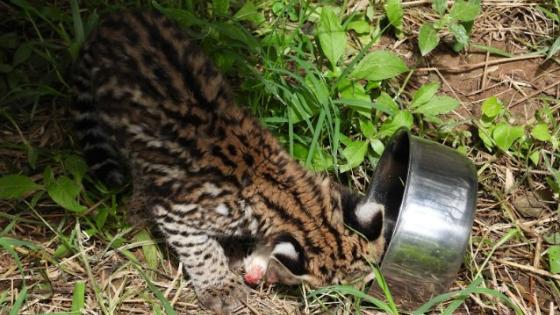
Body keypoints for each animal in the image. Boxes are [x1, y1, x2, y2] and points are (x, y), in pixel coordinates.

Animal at [71, 10, 384, 315]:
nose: (267, 280)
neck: (291, 196)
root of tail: (113, 20)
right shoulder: (177, 211)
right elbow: (200, 250)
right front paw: (219, 288)